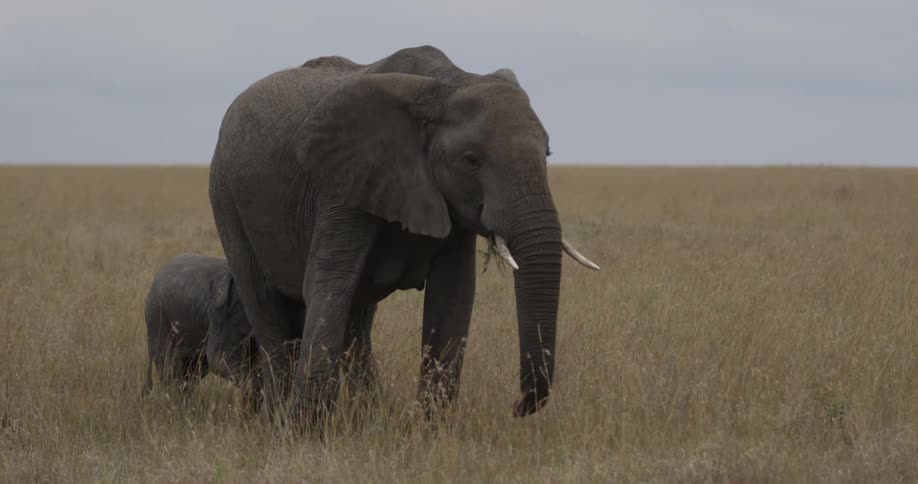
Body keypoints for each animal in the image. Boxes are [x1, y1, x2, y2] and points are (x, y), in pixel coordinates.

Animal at [208, 45, 598, 422]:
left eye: (547, 152)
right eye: (471, 159)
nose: (517, 407)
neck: (449, 81)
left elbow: (454, 292)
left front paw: (430, 427)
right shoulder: (345, 178)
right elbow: (330, 280)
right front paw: (305, 428)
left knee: (357, 324)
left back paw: (369, 413)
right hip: (226, 196)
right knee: (265, 306)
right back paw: (277, 418)